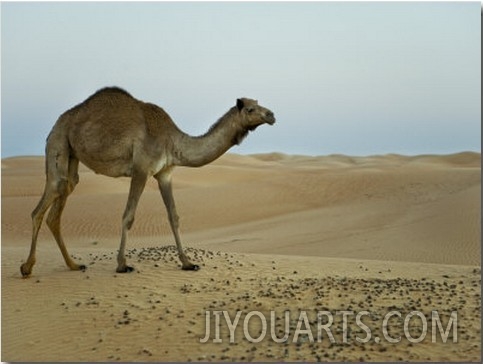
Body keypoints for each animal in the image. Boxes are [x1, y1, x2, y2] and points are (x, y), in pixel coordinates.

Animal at [19, 87, 276, 276]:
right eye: (251, 109)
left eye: (260, 104)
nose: (271, 115)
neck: (173, 141)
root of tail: (56, 124)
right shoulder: (141, 169)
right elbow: (128, 215)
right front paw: (122, 264)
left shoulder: (165, 173)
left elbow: (174, 216)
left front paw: (188, 263)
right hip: (58, 143)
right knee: (44, 203)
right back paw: (27, 267)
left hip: (72, 156)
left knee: (60, 203)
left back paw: (73, 265)